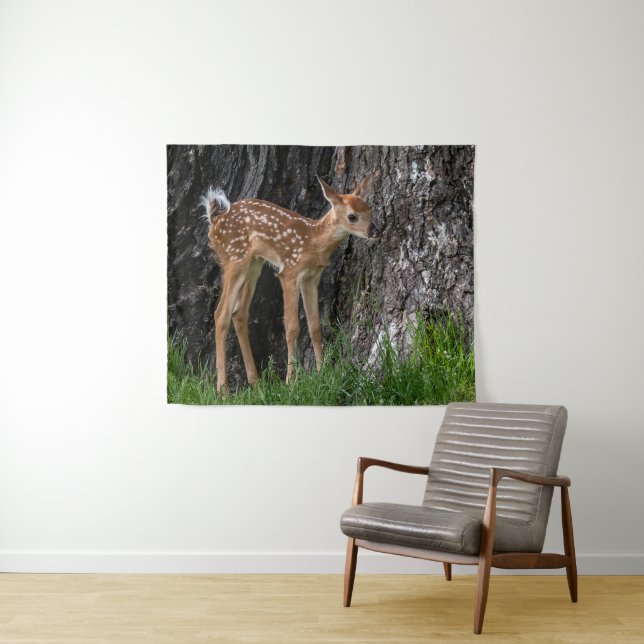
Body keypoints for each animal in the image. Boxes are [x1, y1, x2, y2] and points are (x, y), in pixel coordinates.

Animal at [200, 175, 378, 393]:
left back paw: (256, 383)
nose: (375, 231)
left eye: (369, 210)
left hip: (254, 264)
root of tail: (214, 221)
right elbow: (292, 327)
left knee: (239, 313)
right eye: (352, 216)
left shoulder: (312, 278)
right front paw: (291, 381)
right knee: (221, 314)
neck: (314, 241)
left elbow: (315, 326)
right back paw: (223, 390)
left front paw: (323, 372)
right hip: (235, 258)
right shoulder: (289, 272)